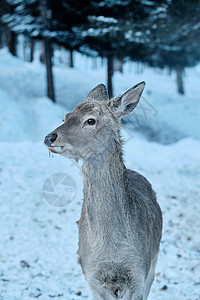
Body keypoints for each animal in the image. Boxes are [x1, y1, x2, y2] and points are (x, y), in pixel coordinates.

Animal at [44, 82, 162, 300]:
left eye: (90, 120)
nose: (50, 137)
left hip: (153, 262)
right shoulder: (92, 274)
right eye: (66, 116)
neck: (110, 250)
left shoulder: (138, 272)